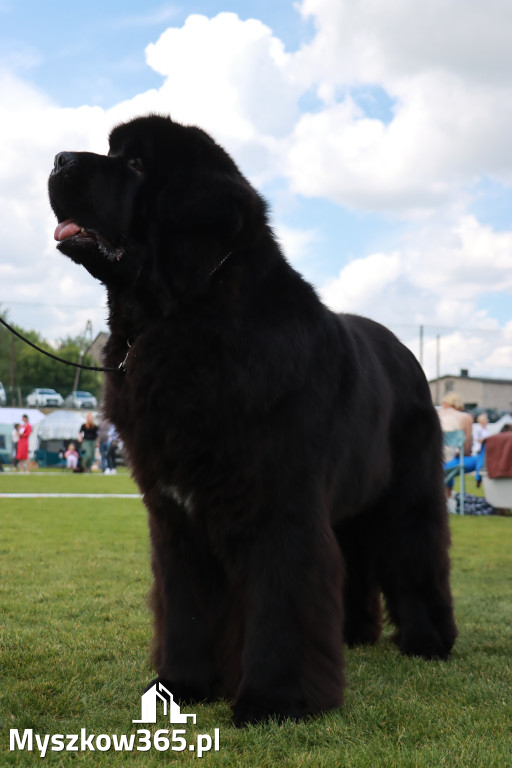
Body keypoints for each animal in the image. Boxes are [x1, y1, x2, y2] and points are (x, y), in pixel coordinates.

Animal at [47, 114, 456, 728]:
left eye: (137, 163)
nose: (58, 159)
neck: (185, 316)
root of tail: (407, 354)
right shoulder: (175, 516)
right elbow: (186, 604)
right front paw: (182, 685)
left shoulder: (278, 506)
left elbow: (281, 600)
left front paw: (274, 701)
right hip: (348, 502)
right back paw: (351, 636)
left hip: (407, 494)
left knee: (415, 552)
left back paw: (429, 642)